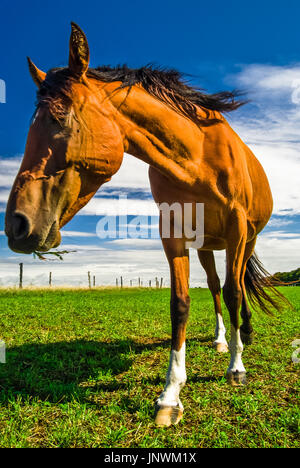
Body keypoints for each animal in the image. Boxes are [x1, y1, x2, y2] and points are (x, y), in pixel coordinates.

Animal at [5, 23, 286, 428]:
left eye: (61, 118)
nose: (17, 225)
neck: (198, 155)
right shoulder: (173, 234)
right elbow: (181, 304)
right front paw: (171, 394)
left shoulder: (237, 230)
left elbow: (235, 293)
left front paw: (236, 369)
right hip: (206, 247)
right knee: (215, 287)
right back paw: (221, 339)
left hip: (245, 241)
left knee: (235, 287)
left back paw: (242, 334)